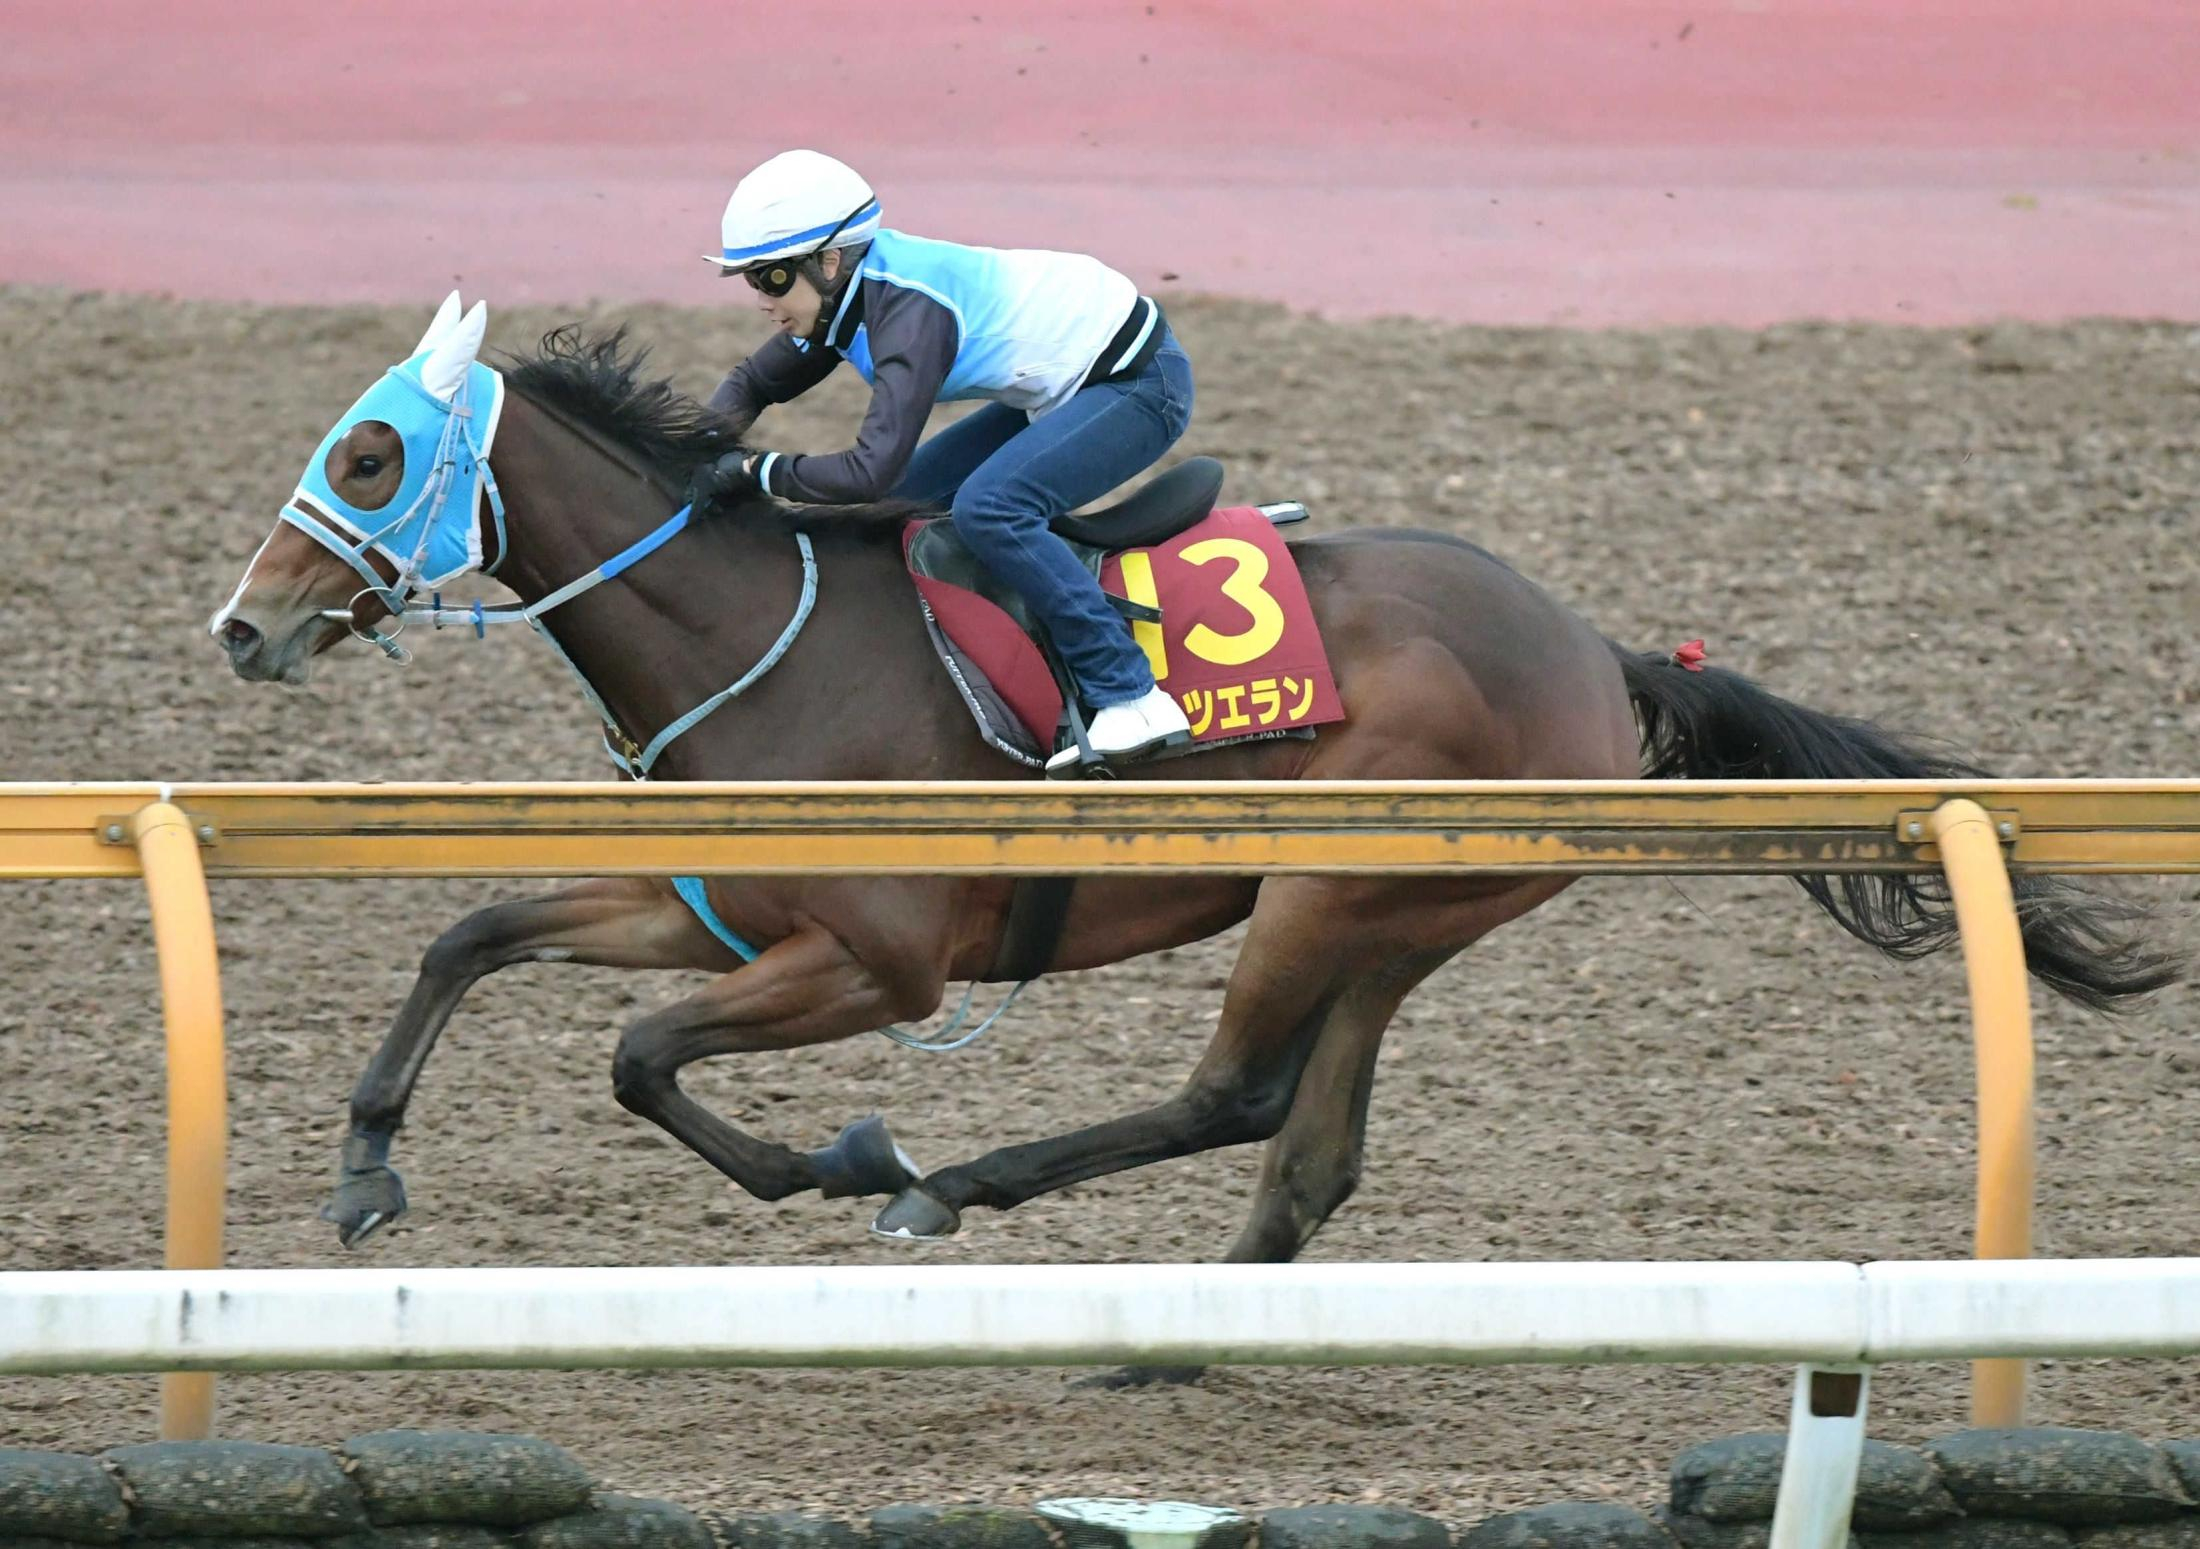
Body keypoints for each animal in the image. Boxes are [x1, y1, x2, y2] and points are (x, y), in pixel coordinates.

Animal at [210, 299, 2182, 1267]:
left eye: (370, 452)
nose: (241, 624)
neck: (757, 636)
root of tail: (1591, 646)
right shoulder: (713, 911)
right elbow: (475, 934)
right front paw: (367, 1167)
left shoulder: (881, 961)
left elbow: (637, 1059)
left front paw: (851, 1156)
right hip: (1400, 917)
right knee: (1305, 1148)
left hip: (1333, 882)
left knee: (1234, 1095)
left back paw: (954, 1189)